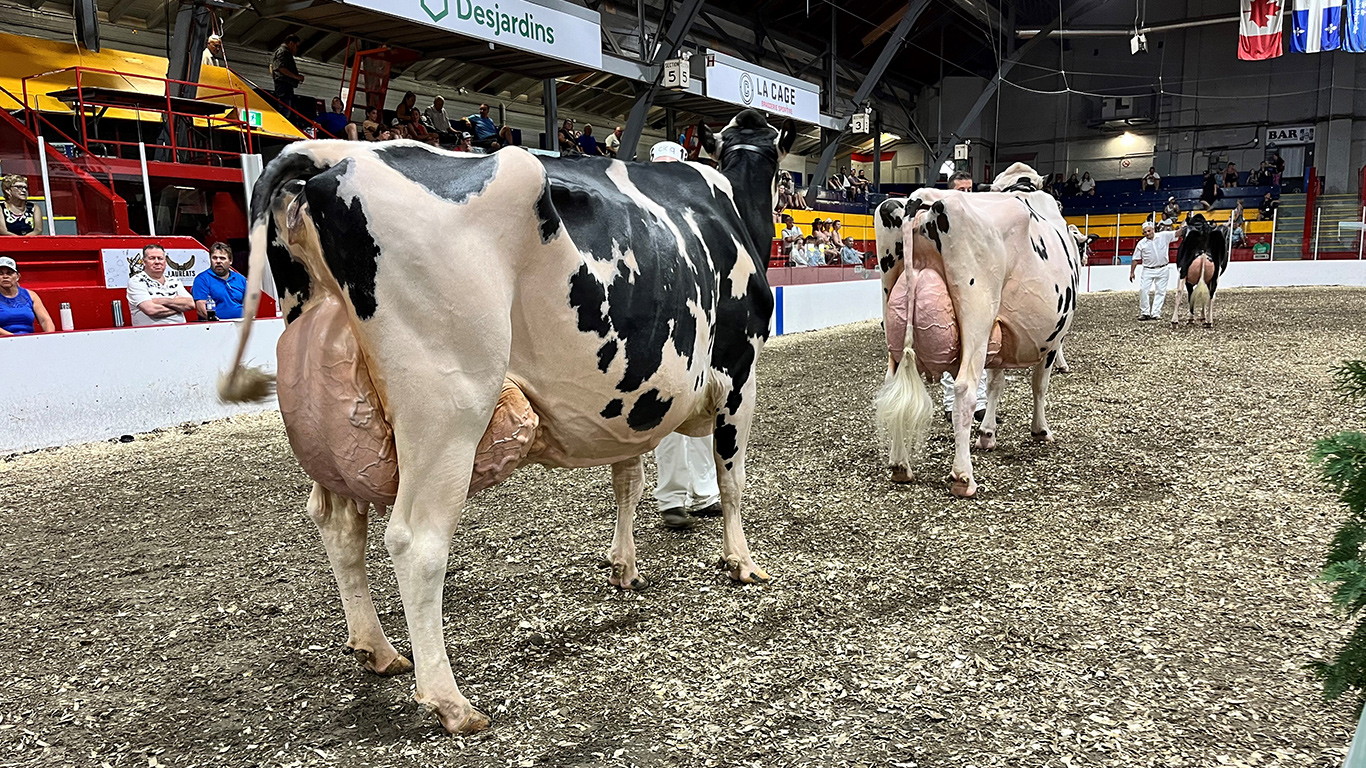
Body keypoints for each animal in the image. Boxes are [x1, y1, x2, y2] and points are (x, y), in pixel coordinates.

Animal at [218, 107, 797, 727]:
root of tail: (335, 156)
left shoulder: (634, 398)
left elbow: (629, 480)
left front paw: (623, 567)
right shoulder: (740, 371)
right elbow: (732, 479)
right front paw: (741, 563)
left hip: (329, 409)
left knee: (338, 521)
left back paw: (378, 650)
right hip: (449, 406)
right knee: (417, 541)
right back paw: (450, 701)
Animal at [874, 161, 1076, 497]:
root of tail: (921, 198)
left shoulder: (1001, 331)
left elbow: (995, 382)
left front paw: (988, 433)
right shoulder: (1052, 338)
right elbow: (1039, 385)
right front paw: (1040, 430)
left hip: (894, 309)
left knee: (892, 387)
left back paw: (900, 465)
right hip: (977, 313)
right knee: (964, 389)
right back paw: (963, 477)